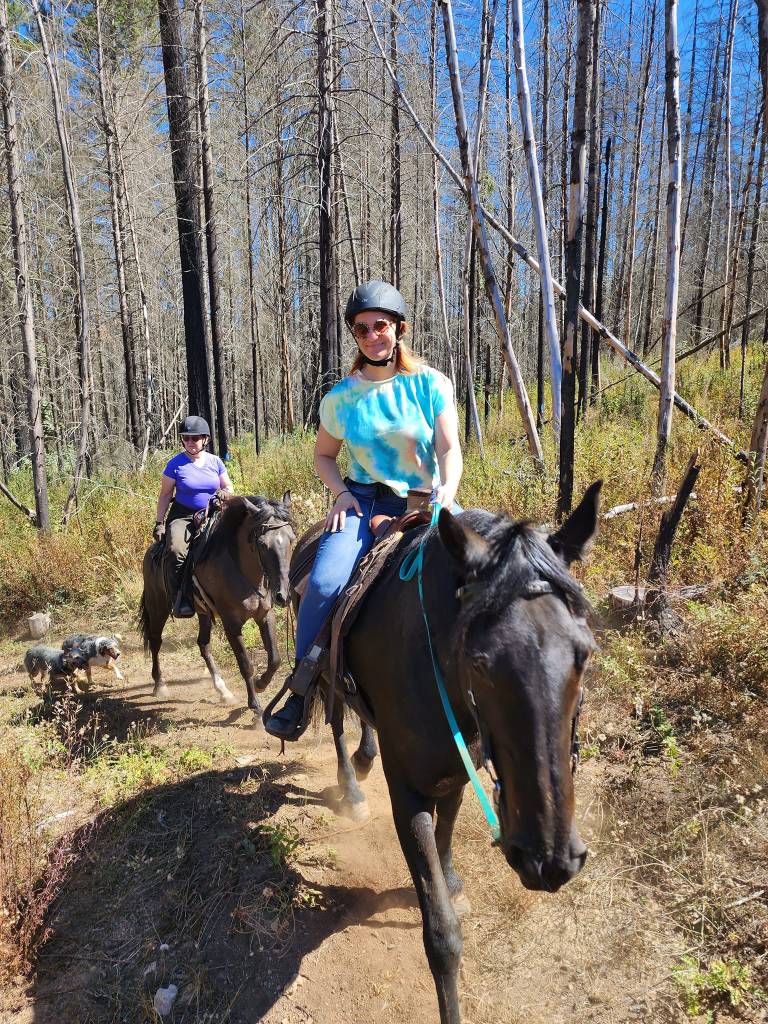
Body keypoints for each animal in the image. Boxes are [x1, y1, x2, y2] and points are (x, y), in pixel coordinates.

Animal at [139, 493, 296, 711]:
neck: (242, 571)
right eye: (263, 545)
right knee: (155, 640)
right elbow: (245, 664)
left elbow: (275, 659)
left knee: (203, 644)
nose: (283, 595)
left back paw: (223, 690)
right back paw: (160, 684)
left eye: (291, 539)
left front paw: (260, 684)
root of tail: (152, 551)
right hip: (157, 607)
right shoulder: (231, 623)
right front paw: (255, 706)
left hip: (203, 612)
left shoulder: (265, 615)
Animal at [293, 481, 601, 1024]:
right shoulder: (407, 792)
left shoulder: (460, 765)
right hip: (327, 678)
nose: (549, 860)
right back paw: (351, 791)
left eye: (583, 654)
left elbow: (448, 828)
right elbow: (441, 936)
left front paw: (452, 878)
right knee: (335, 726)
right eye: (479, 661)